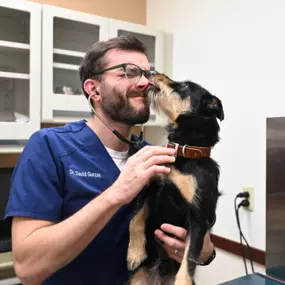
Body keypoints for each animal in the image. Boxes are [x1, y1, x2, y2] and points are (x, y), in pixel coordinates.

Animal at [126, 74, 224, 284]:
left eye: (185, 85)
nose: (150, 71)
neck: (182, 153)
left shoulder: (198, 216)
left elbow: (190, 256)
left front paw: (183, 280)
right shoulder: (148, 187)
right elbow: (135, 218)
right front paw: (135, 253)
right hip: (137, 279)